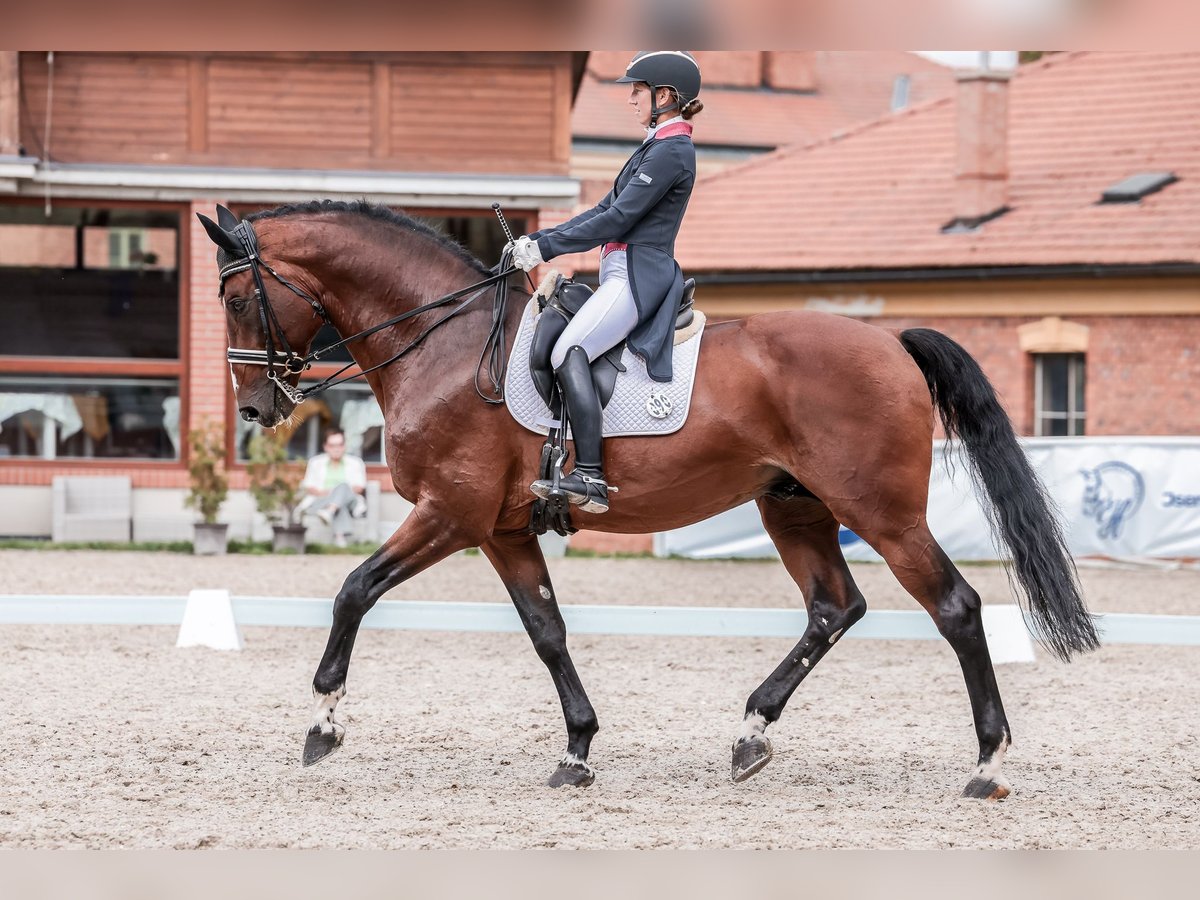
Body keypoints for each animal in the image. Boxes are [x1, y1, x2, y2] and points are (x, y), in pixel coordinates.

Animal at [196, 200, 1099, 801]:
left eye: (236, 300)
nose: (257, 410)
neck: (445, 344)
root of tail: (890, 341)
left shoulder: (449, 515)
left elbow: (353, 591)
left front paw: (323, 723)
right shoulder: (502, 531)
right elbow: (547, 631)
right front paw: (577, 749)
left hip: (882, 513)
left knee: (956, 607)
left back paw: (986, 764)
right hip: (794, 507)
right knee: (833, 607)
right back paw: (751, 734)